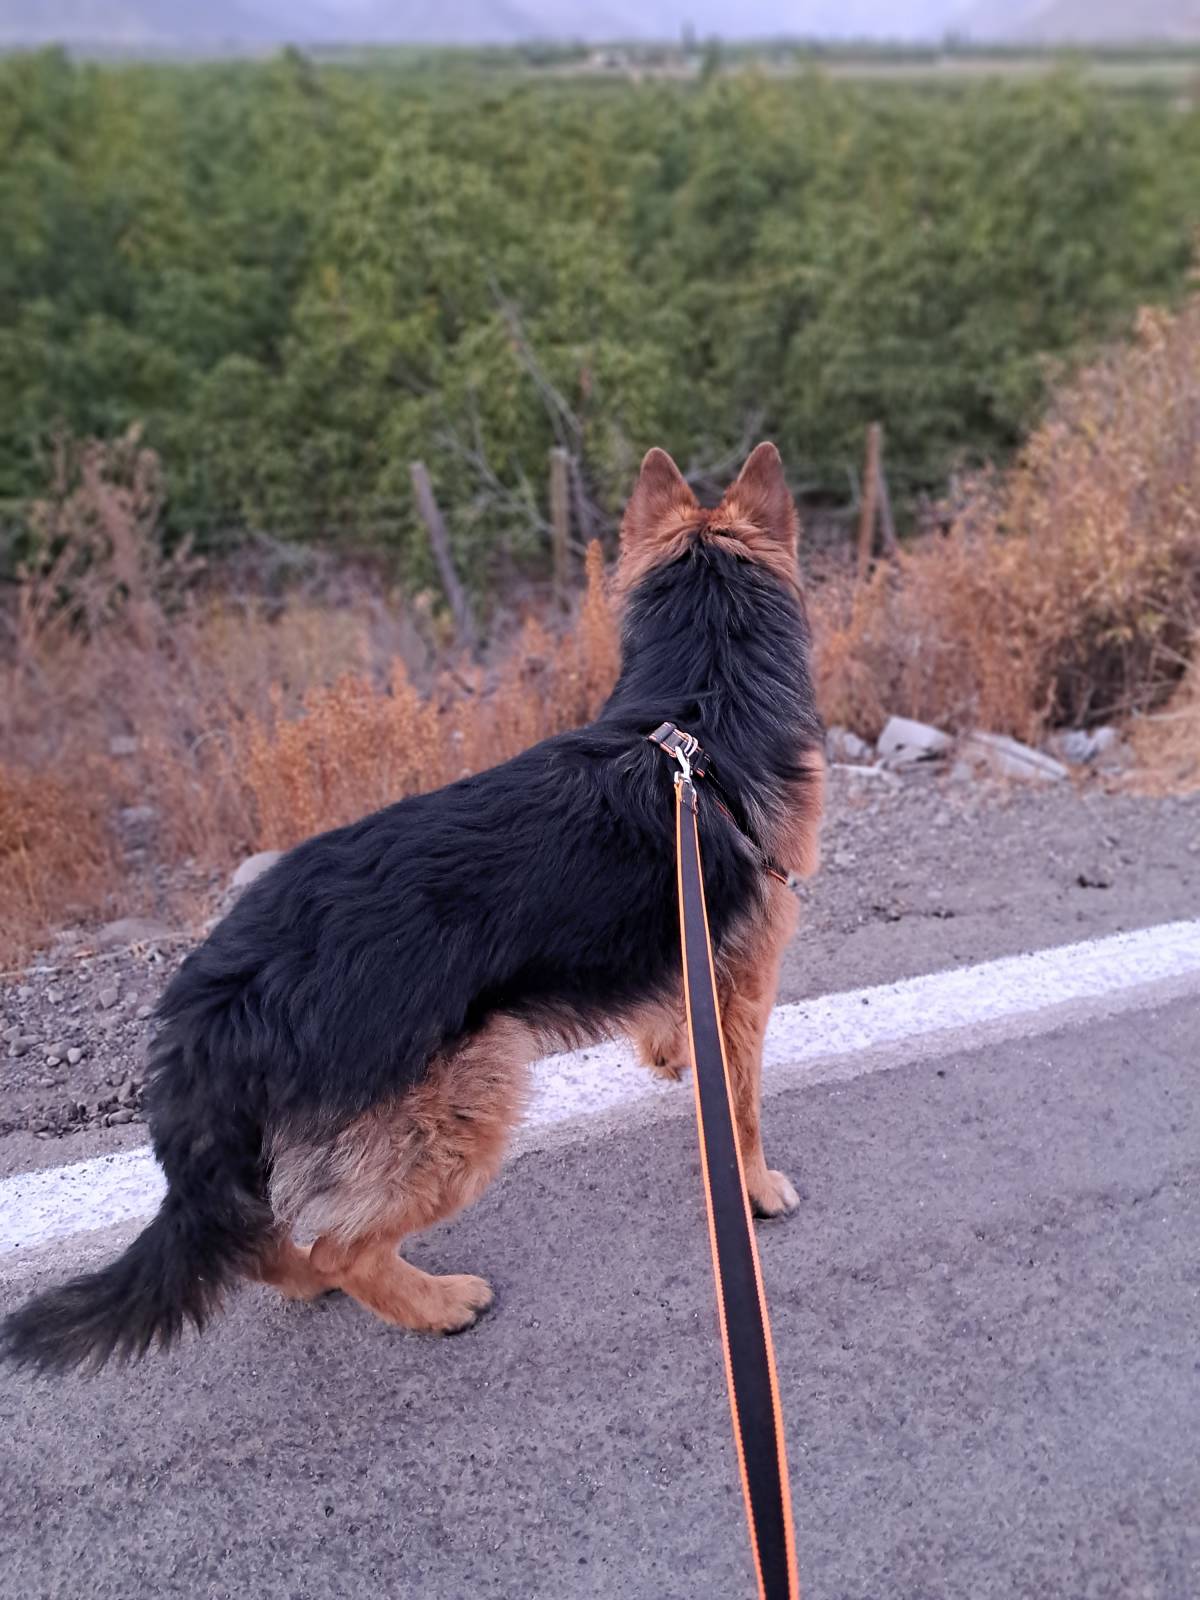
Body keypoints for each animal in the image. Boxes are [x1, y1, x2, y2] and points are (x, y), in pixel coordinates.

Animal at [2, 441, 825, 1376]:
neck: (698, 708)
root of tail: (216, 993)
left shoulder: (689, 957)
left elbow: (674, 1030)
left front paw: (671, 1060)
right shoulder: (746, 982)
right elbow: (744, 1108)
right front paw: (753, 1190)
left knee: (272, 1251)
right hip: (469, 1103)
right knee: (338, 1247)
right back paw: (438, 1303)